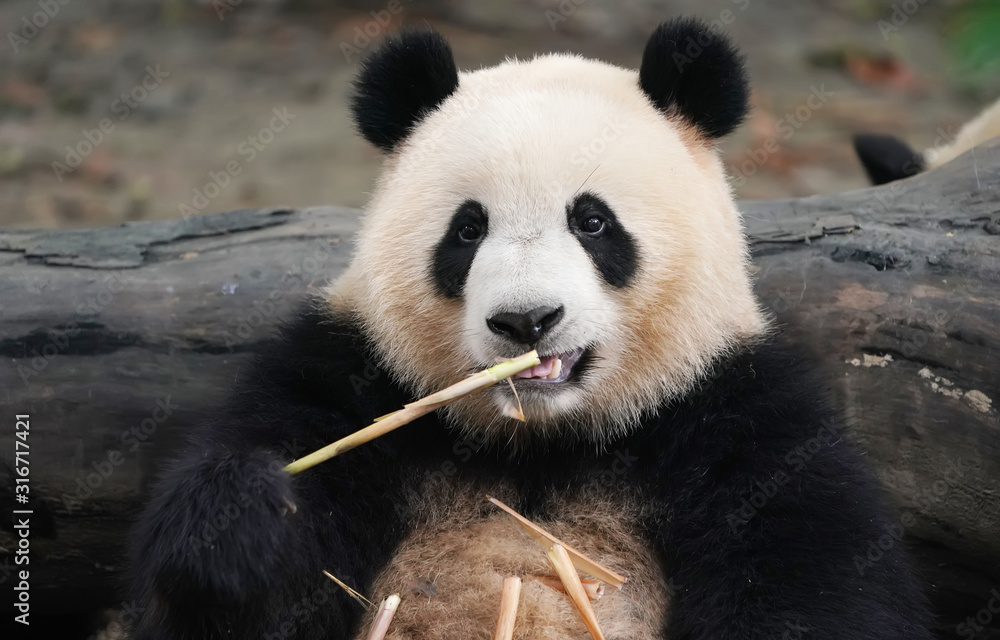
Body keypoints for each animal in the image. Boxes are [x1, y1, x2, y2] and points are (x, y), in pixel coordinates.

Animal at [131, 19, 934, 640]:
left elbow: (815, 579)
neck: (542, 445)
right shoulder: (349, 378)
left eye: (592, 221)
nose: (526, 320)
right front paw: (241, 519)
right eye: (467, 230)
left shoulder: (732, 415)